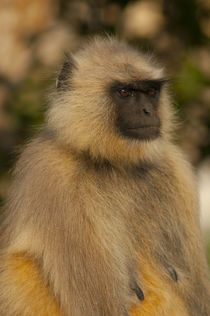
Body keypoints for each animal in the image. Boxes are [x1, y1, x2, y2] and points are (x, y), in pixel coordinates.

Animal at [0, 37, 210, 316]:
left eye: (150, 92)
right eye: (125, 93)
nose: (147, 111)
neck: (115, 164)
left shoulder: (177, 169)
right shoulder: (53, 173)